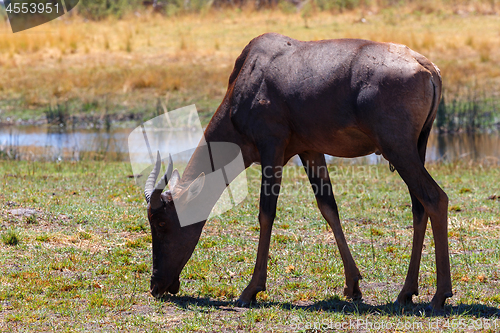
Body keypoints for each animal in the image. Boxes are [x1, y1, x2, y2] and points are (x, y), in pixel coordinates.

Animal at [143, 32, 452, 310]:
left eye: (161, 222)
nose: (157, 286)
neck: (253, 71)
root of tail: (428, 68)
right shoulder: (310, 150)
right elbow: (328, 208)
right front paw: (352, 286)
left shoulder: (273, 147)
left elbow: (266, 212)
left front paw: (250, 290)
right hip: (416, 147)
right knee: (419, 207)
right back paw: (405, 293)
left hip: (398, 149)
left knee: (435, 198)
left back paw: (439, 296)